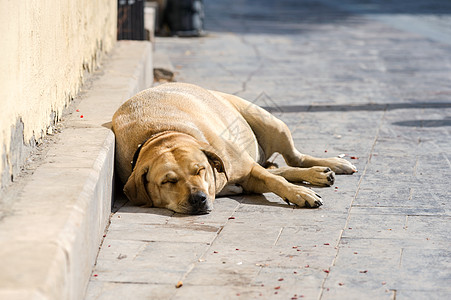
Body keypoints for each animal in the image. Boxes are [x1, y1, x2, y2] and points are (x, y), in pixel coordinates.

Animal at [112, 82, 356, 213]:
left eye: (200, 170)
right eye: (168, 181)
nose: (198, 199)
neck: (162, 135)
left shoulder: (246, 168)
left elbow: (275, 180)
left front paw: (299, 192)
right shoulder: (249, 180)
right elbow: (272, 177)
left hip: (270, 123)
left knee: (294, 158)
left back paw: (329, 165)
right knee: (282, 168)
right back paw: (319, 173)